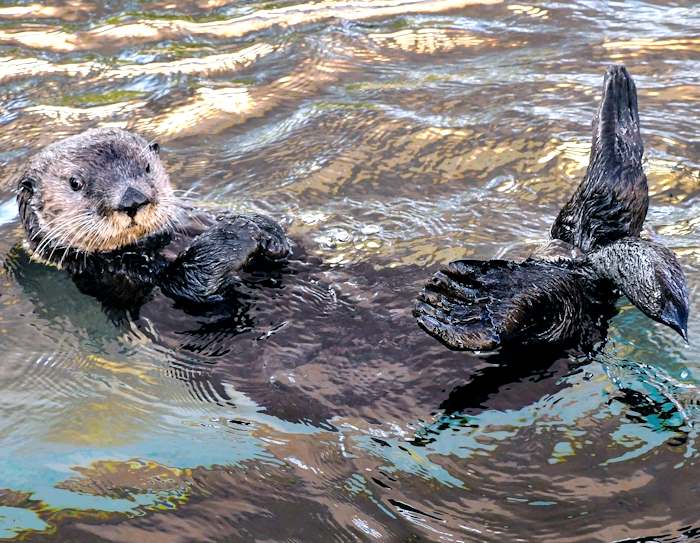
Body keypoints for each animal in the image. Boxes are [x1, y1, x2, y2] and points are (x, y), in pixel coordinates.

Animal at [15, 128, 292, 312]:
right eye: (75, 183)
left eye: (147, 167)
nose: (133, 200)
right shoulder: (120, 275)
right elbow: (189, 283)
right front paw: (237, 232)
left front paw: (266, 230)